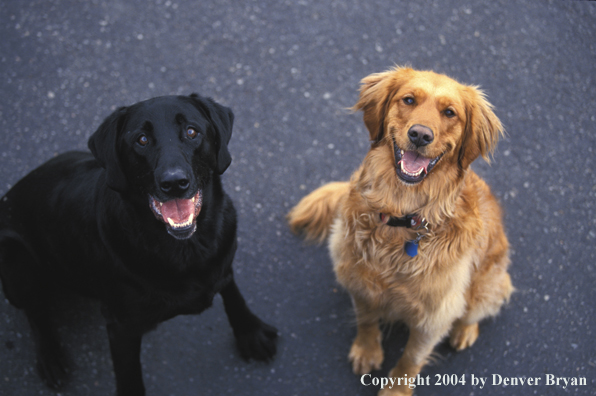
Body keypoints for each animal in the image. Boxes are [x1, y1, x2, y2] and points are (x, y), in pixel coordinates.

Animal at [0, 94, 278, 394]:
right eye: (141, 140)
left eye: (192, 132)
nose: (174, 183)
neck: (188, 250)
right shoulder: (122, 328)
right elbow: (130, 378)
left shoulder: (223, 262)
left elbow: (233, 293)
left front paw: (250, 332)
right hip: (15, 262)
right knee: (36, 312)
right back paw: (50, 357)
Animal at [288, 66, 512, 394]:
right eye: (408, 100)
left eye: (450, 112)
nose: (420, 135)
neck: (401, 217)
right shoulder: (359, 281)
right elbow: (366, 320)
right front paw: (367, 351)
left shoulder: (434, 316)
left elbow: (411, 359)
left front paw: (395, 390)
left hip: (487, 283)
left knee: (479, 307)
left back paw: (465, 330)